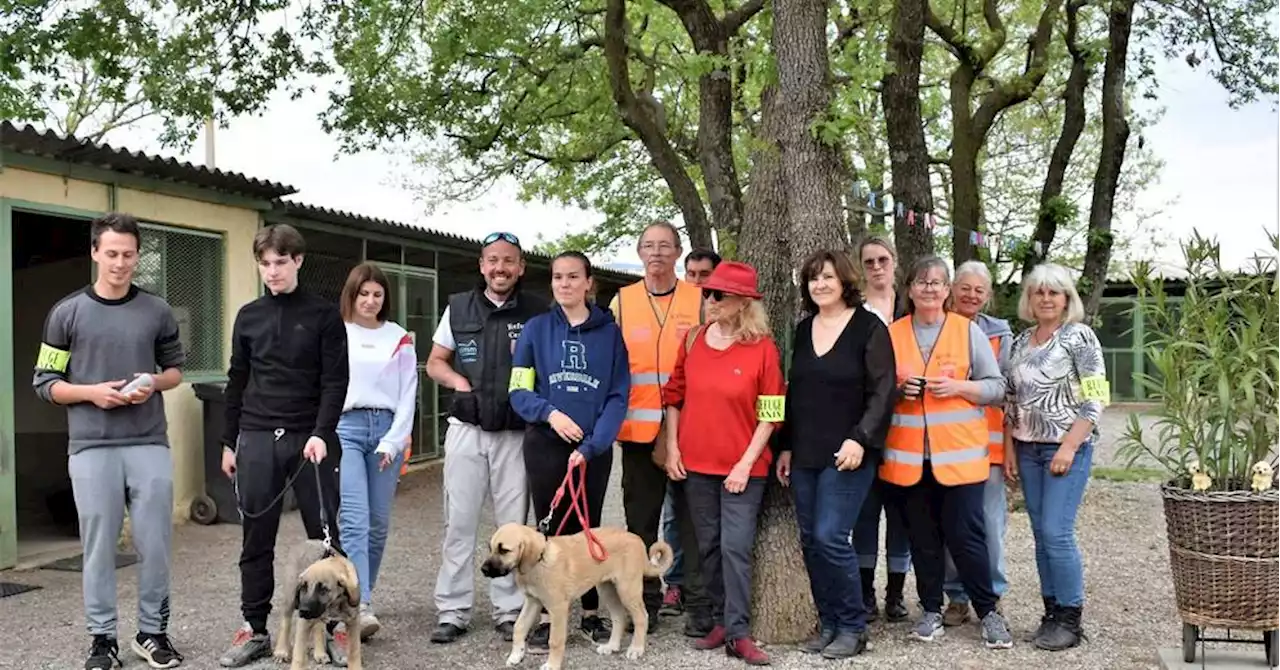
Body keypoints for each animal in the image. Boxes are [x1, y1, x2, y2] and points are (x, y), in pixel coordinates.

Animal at [272, 540, 363, 670]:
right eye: (303, 587)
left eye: (323, 589)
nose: (303, 610)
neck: (333, 605)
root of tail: (306, 541)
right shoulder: (304, 622)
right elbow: (298, 655)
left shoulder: (353, 622)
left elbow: (354, 652)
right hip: (290, 598)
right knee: (285, 623)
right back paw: (281, 651)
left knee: (318, 627)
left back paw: (319, 653)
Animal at [481, 525, 675, 670]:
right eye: (490, 548)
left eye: (504, 550)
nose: (483, 570)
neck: (539, 561)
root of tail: (637, 540)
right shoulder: (533, 602)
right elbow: (519, 628)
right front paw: (516, 655)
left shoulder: (558, 608)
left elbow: (555, 640)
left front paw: (552, 665)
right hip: (608, 589)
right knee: (619, 617)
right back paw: (611, 646)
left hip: (627, 589)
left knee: (642, 616)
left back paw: (636, 649)